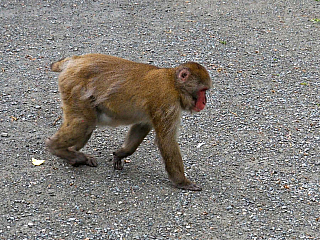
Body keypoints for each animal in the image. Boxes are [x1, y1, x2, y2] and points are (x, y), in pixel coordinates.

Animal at [44, 53, 210, 191]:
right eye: (202, 91)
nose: (204, 102)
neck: (173, 83)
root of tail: (74, 60)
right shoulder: (167, 101)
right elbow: (167, 140)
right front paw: (182, 182)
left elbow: (141, 126)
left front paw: (121, 153)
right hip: (75, 87)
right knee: (84, 123)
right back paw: (56, 148)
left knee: (87, 124)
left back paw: (71, 153)